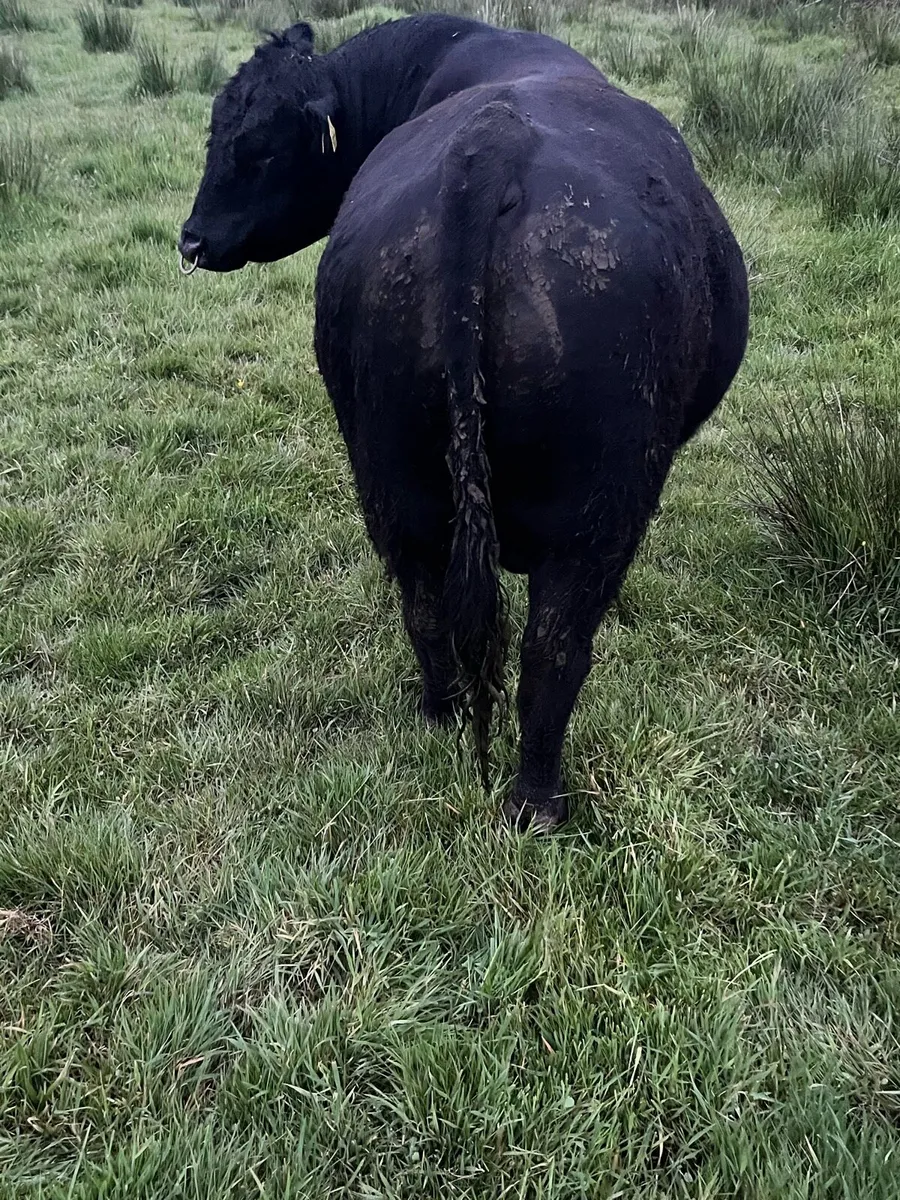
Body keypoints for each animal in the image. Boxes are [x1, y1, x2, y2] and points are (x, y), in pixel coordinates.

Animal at [179, 14, 749, 832]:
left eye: (258, 146)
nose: (190, 239)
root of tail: (493, 140)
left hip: (390, 479)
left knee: (424, 603)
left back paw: (440, 716)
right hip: (603, 504)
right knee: (554, 647)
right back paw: (538, 804)